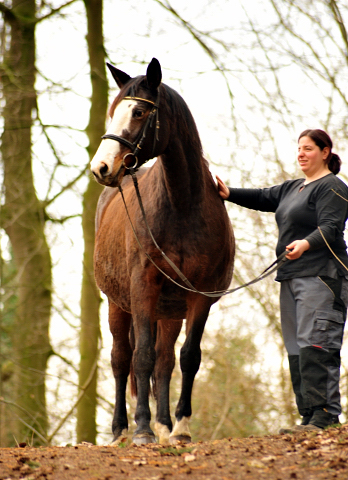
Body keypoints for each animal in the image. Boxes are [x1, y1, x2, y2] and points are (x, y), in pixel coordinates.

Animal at [91, 58, 235, 444]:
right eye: (113, 111)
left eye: (139, 111)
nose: (101, 167)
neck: (182, 205)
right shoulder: (143, 289)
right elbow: (139, 357)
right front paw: (143, 429)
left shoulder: (199, 296)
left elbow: (187, 358)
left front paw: (180, 426)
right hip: (117, 304)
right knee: (121, 358)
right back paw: (121, 430)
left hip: (170, 311)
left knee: (164, 360)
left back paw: (166, 424)